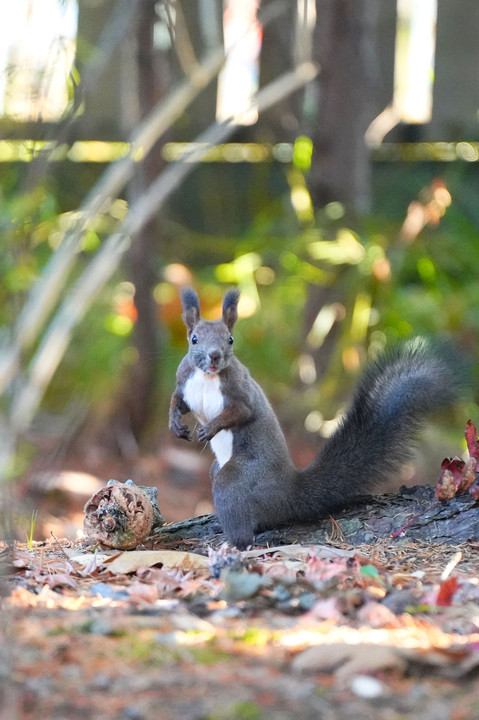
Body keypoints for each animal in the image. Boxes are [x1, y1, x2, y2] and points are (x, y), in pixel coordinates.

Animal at [170, 286, 464, 544]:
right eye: (194, 339)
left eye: (230, 339)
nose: (214, 356)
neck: (208, 377)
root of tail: (289, 492)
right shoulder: (184, 381)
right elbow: (178, 401)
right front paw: (175, 423)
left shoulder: (240, 391)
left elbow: (242, 411)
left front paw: (211, 428)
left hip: (243, 479)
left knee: (238, 512)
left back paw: (235, 543)